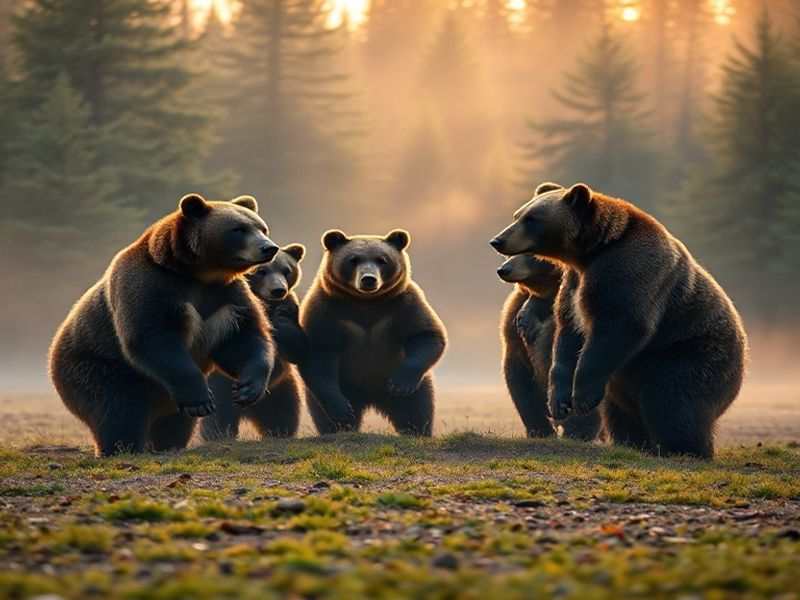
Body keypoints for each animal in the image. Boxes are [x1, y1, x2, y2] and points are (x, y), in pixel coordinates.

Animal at [49, 194, 278, 456]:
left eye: (262, 228)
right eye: (238, 229)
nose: (269, 248)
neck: (198, 274)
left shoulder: (227, 299)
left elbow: (244, 338)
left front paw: (248, 389)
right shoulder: (150, 286)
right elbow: (154, 338)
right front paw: (200, 400)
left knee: (173, 423)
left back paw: (166, 444)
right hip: (94, 365)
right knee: (119, 404)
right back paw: (121, 447)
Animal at [201, 244, 307, 440]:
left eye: (287, 270)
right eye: (261, 271)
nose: (278, 290)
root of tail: (250, 412)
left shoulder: (292, 305)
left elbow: (298, 347)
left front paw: (280, 321)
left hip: (281, 389)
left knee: (283, 415)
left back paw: (278, 432)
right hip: (221, 388)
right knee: (219, 417)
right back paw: (219, 434)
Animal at [299, 229, 447, 436]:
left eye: (382, 259)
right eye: (353, 260)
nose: (368, 278)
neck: (366, 302)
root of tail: (371, 398)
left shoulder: (403, 303)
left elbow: (425, 333)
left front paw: (399, 385)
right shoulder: (325, 309)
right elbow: (318, 351)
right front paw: (342, 410)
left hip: (413, 384)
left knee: (416, 411)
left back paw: (417, 431)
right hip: (345, 384)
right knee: (325, 416)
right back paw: (340, 425)